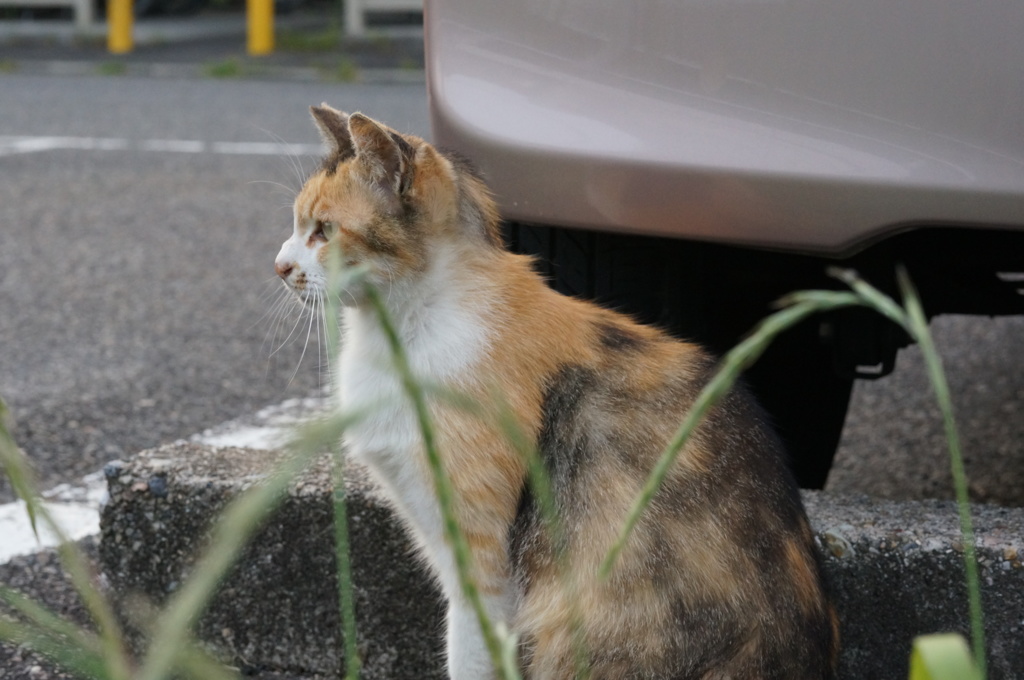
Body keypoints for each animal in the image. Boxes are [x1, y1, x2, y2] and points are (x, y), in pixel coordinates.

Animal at [274, 106, 839, 680]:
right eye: (297, 226)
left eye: (324, 231)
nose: (280, 266)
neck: (412, 324)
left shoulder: (481, 564)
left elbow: (470, 654)